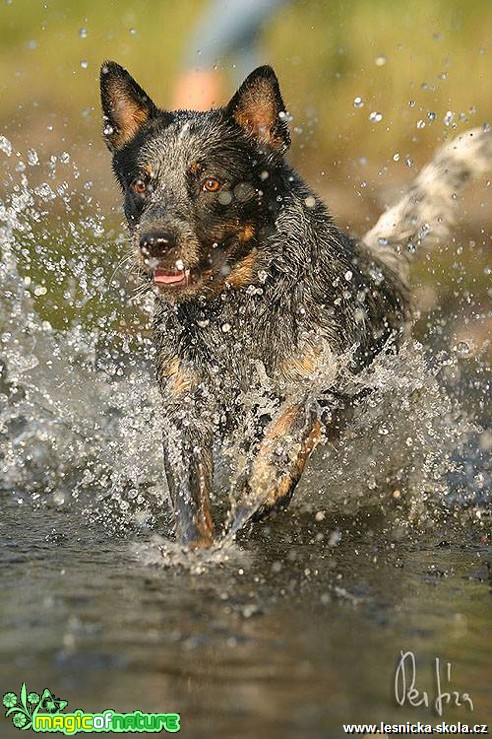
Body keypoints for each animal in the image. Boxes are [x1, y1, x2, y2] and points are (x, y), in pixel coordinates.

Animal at [99, 63, 488, 548]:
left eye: (210, 183)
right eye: (140, 183)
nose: (155, 242)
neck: (236, 307)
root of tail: (377, 260)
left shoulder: (324, 380)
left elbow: (295, 421)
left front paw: (266, 484)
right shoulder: (184, 405)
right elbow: (189, 497)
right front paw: (198, 549)